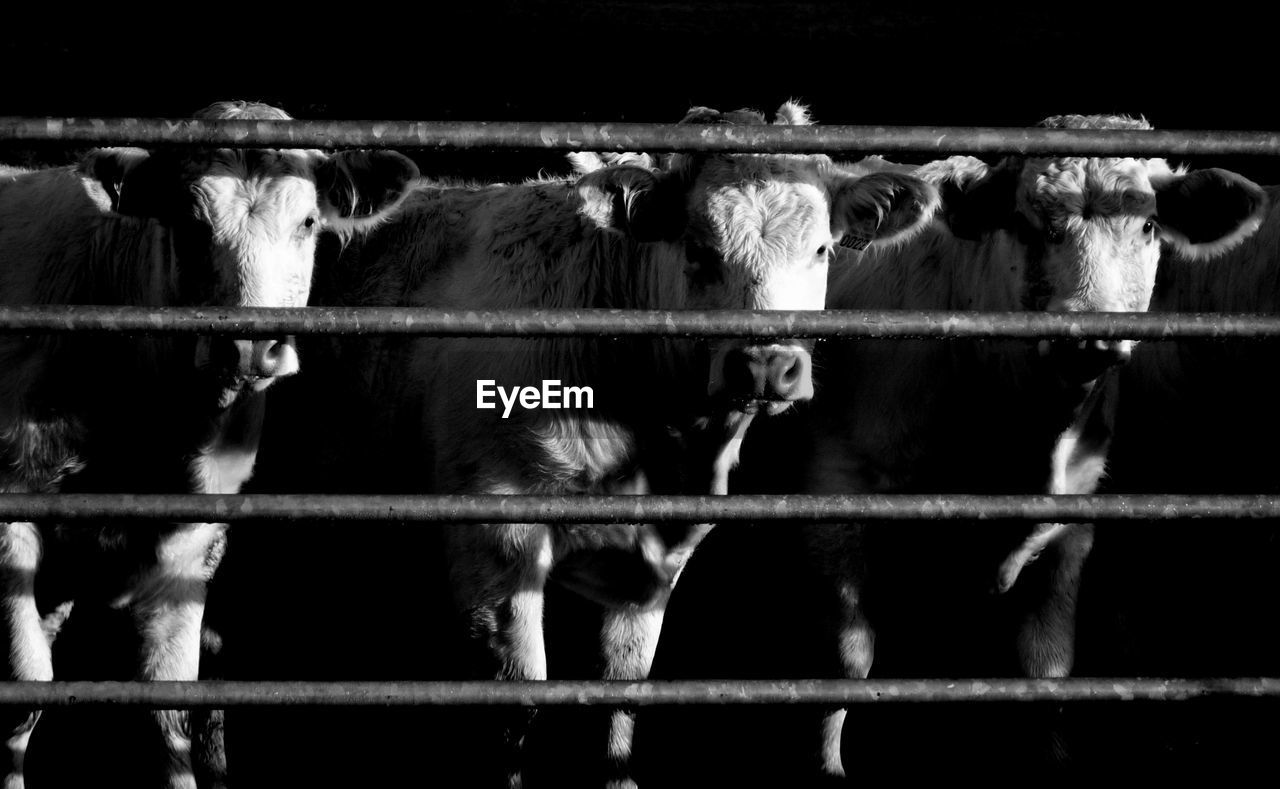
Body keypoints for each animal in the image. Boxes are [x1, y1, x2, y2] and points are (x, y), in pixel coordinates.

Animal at [0, 99, 419, 789]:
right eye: (190, 225)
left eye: (308, 221)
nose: (249, 345)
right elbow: (24, 691)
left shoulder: (191, 542)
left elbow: (169, 708)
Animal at [632, 113, 1269, 783]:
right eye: (1027, 224)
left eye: (1147, 226)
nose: (1089, 338)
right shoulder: (836, 496)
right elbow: (846, 660)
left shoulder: (1074, 525)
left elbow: (1046, 666)